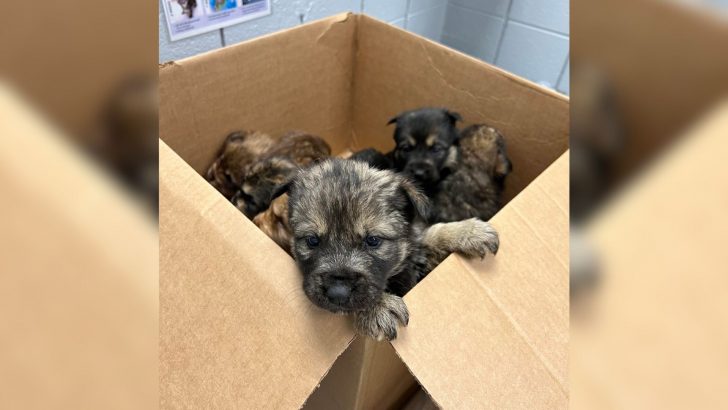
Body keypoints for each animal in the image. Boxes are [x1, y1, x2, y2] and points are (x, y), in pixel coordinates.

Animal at [278, 159, 500, 342]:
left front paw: (468, 232)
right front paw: (378, 308)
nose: (338, 293)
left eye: (373, 240)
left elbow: (430, 235)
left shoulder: (414, 251)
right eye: (312, 240)